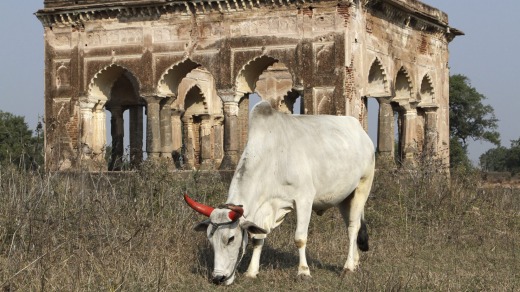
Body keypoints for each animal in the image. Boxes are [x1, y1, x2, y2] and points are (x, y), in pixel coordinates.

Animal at [185, 101, 376, 286]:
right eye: (210, 239)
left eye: (231, 238)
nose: (218, 278)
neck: (273, 158)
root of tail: (360, 131)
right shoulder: (263, 210)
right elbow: (258, 238)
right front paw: (251, 272)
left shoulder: (304, 199)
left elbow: (300, 238)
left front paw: (303, 272)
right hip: (344, 198)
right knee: (351, 224)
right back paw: (355, 262)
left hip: (362, 187)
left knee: (353, 228)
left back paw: (348, 267)